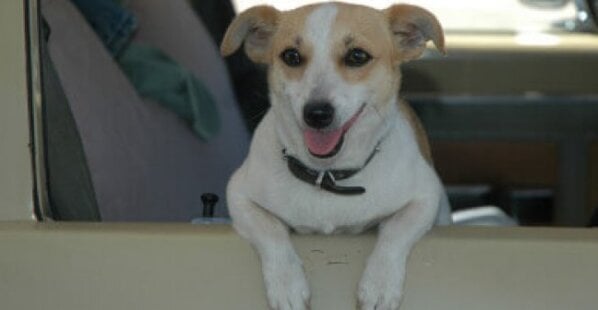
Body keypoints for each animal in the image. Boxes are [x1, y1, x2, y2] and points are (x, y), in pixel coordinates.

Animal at [223, 2, 452, 310]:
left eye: (357, 56)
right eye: (291, 56)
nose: (317, 113)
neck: (327, 174)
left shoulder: (425, 198)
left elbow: (395, 232)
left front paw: (379, 283)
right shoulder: (239, 195)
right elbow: (271, 231)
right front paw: (287, 283)